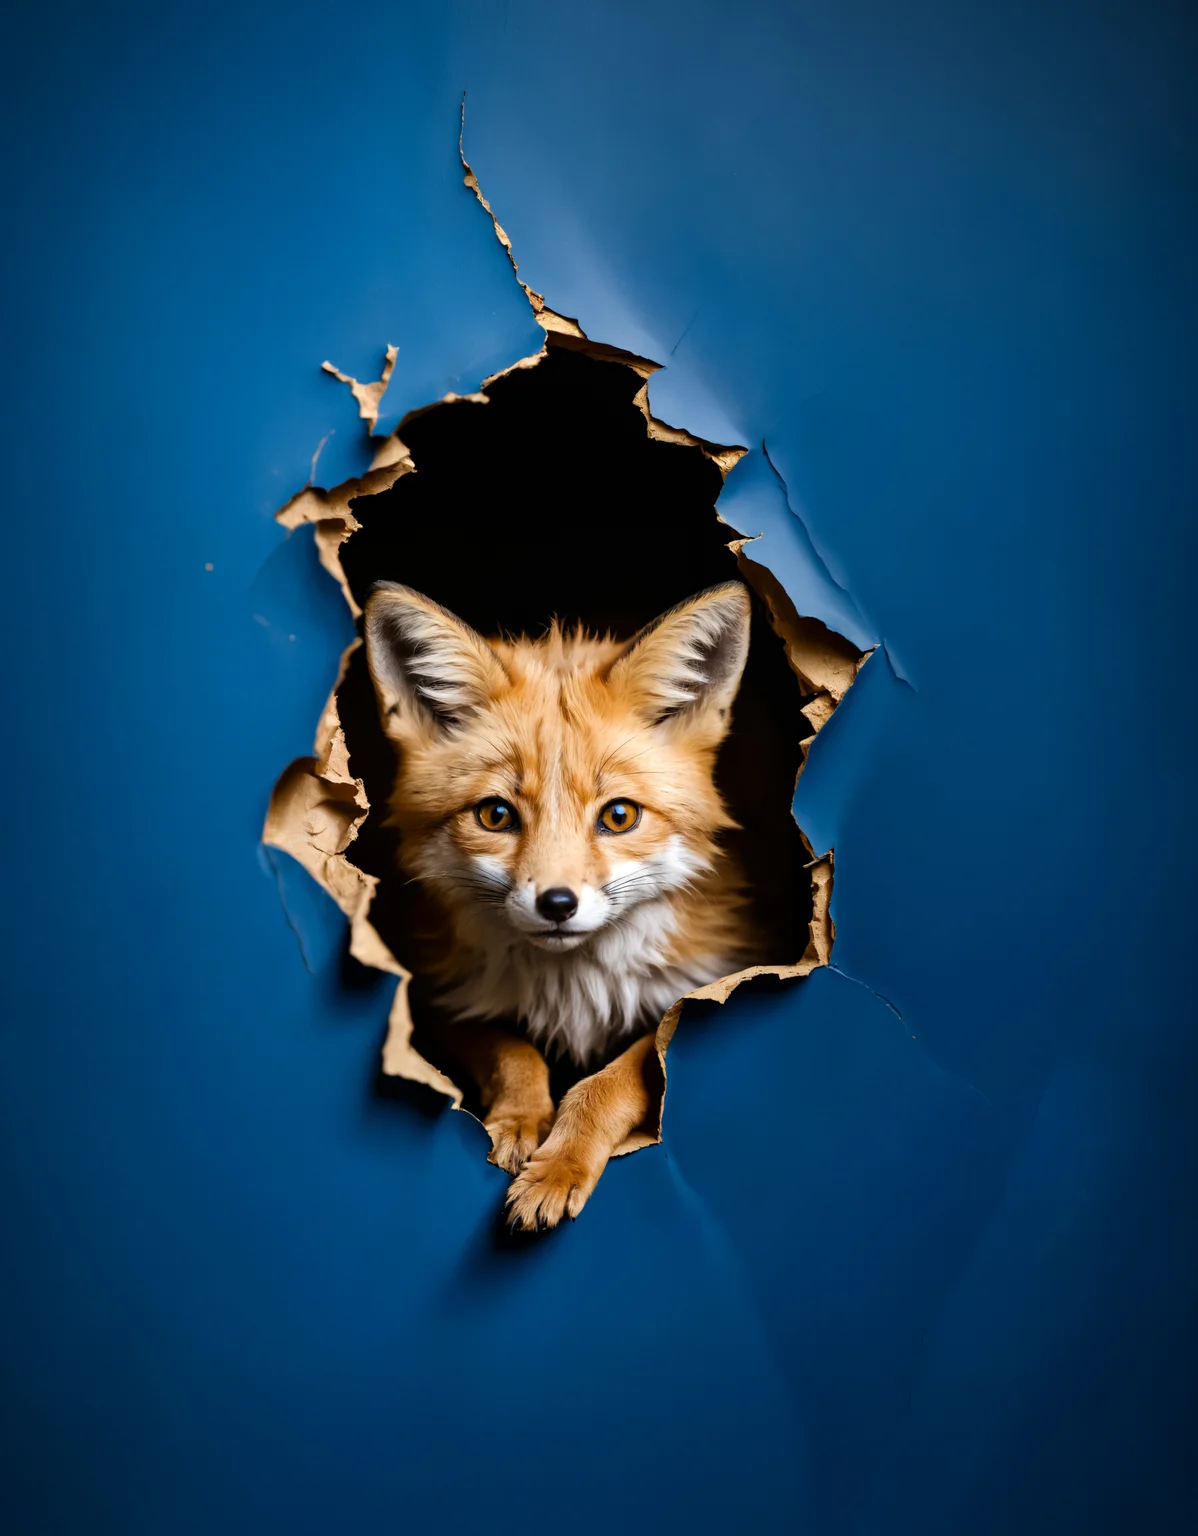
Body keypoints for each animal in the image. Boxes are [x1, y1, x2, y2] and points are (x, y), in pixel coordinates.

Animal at [363, 579, 756, 1229]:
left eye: (619, 816)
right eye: (495, 815)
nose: (557, 903)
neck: (573, 989)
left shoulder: (684, 1002)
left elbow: (610, 1081)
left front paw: (561, 1165)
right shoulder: (440, 1002)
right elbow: (513, 1052)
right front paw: (520, 1121)